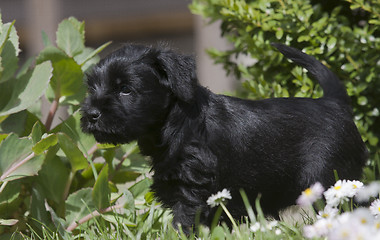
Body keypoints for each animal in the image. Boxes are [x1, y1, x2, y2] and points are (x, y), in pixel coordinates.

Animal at [81, 42, 368, 231]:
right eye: (92, 87)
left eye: (126, 89)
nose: (91, 114)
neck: (176, 124)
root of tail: (334, 103)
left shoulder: (193, 189)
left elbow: (184, 222)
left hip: (331, 180)